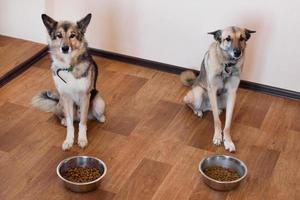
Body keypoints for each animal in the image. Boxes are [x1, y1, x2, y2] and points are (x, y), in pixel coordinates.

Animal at [31, 13, 105, 150]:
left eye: (72, 35)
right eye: (59, 35)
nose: (65, 48)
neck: (68, 66)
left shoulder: (85, 96)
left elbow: (82, 123)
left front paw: (82, 139)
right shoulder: (65, 97)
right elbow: (71, 124)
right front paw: (69, 140)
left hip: (99, 103)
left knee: (90, 116)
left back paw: (101, 118)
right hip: (61, 103)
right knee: (62, 115)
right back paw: (64, 120)